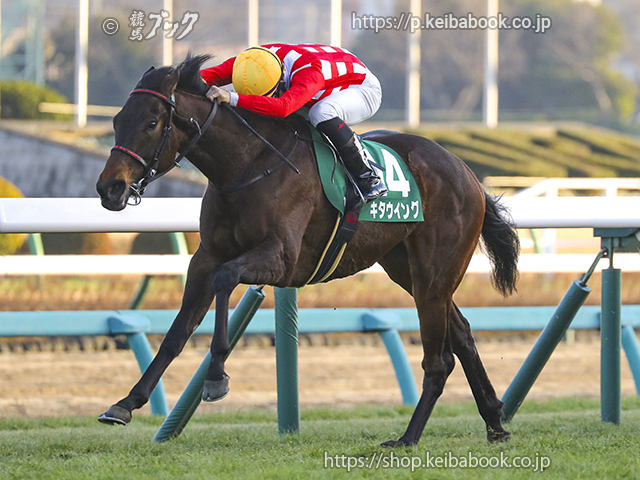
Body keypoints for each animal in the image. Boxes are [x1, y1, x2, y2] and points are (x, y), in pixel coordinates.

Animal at [95, 54, 520, 447]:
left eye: (152, 123)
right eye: (117, 121)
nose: (109, 188)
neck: (247, 165)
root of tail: (466, 172)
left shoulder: (281, 258)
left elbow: (226, 279)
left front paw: (216, 377)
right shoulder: (206, 257)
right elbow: (178, 330)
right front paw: (125, 404)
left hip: (434, 273)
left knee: (440, 360)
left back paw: (408, 437)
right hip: (407, 268)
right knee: (462, 335)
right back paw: (495, 422)